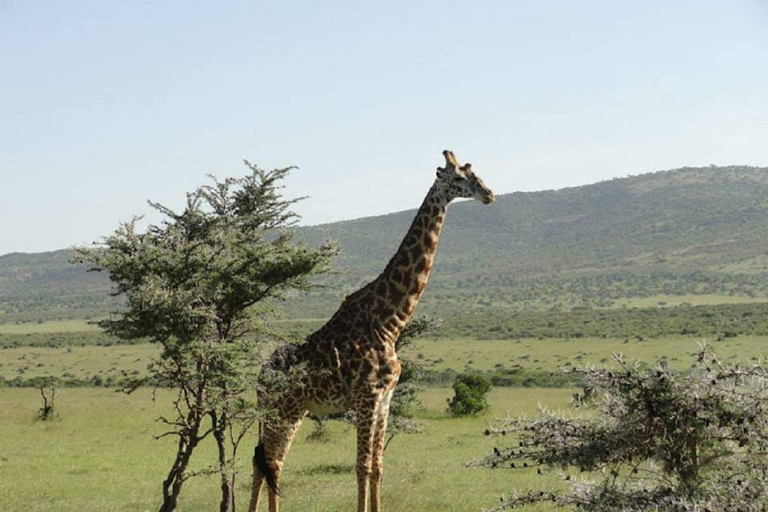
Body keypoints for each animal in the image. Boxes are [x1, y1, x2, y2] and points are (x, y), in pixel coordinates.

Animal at [249, 150, 496, 512]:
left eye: (474, 172)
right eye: (458, 178)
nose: (489, 194)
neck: (388, 322)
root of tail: (260, 376)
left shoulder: (385, 399)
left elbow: (378, 466)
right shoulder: (367, 396)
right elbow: (362, 466)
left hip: (290, 410)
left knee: (269, 461)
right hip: (280, 408)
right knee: (268, 462)